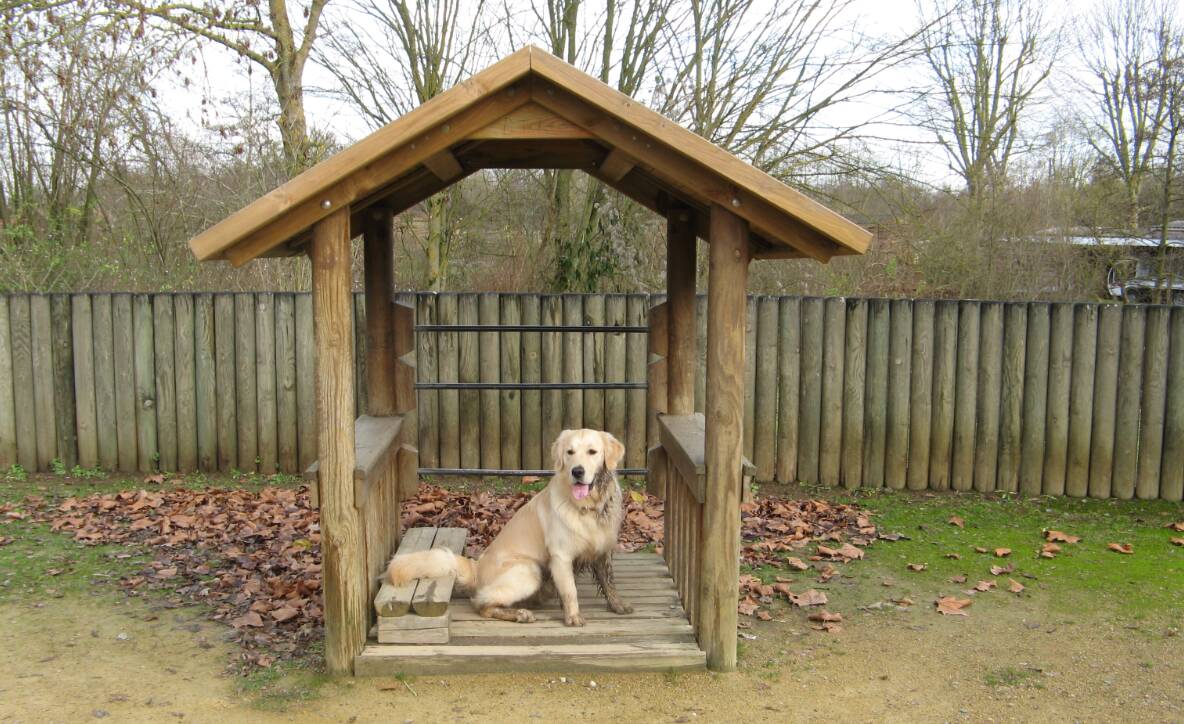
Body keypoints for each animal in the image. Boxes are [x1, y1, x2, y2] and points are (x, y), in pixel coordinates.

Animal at [385, 426, 629, 625]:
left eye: (592, 452)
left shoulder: (603, 550)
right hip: (529, 570)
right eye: (569, 452)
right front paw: (573, 616)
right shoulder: (561, 557)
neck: (590, 507)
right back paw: (520, 614)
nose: (577, 471)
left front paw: (618, 605)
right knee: (481, 604)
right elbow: (571, 590)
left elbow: (609, 581)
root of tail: (476, 568)